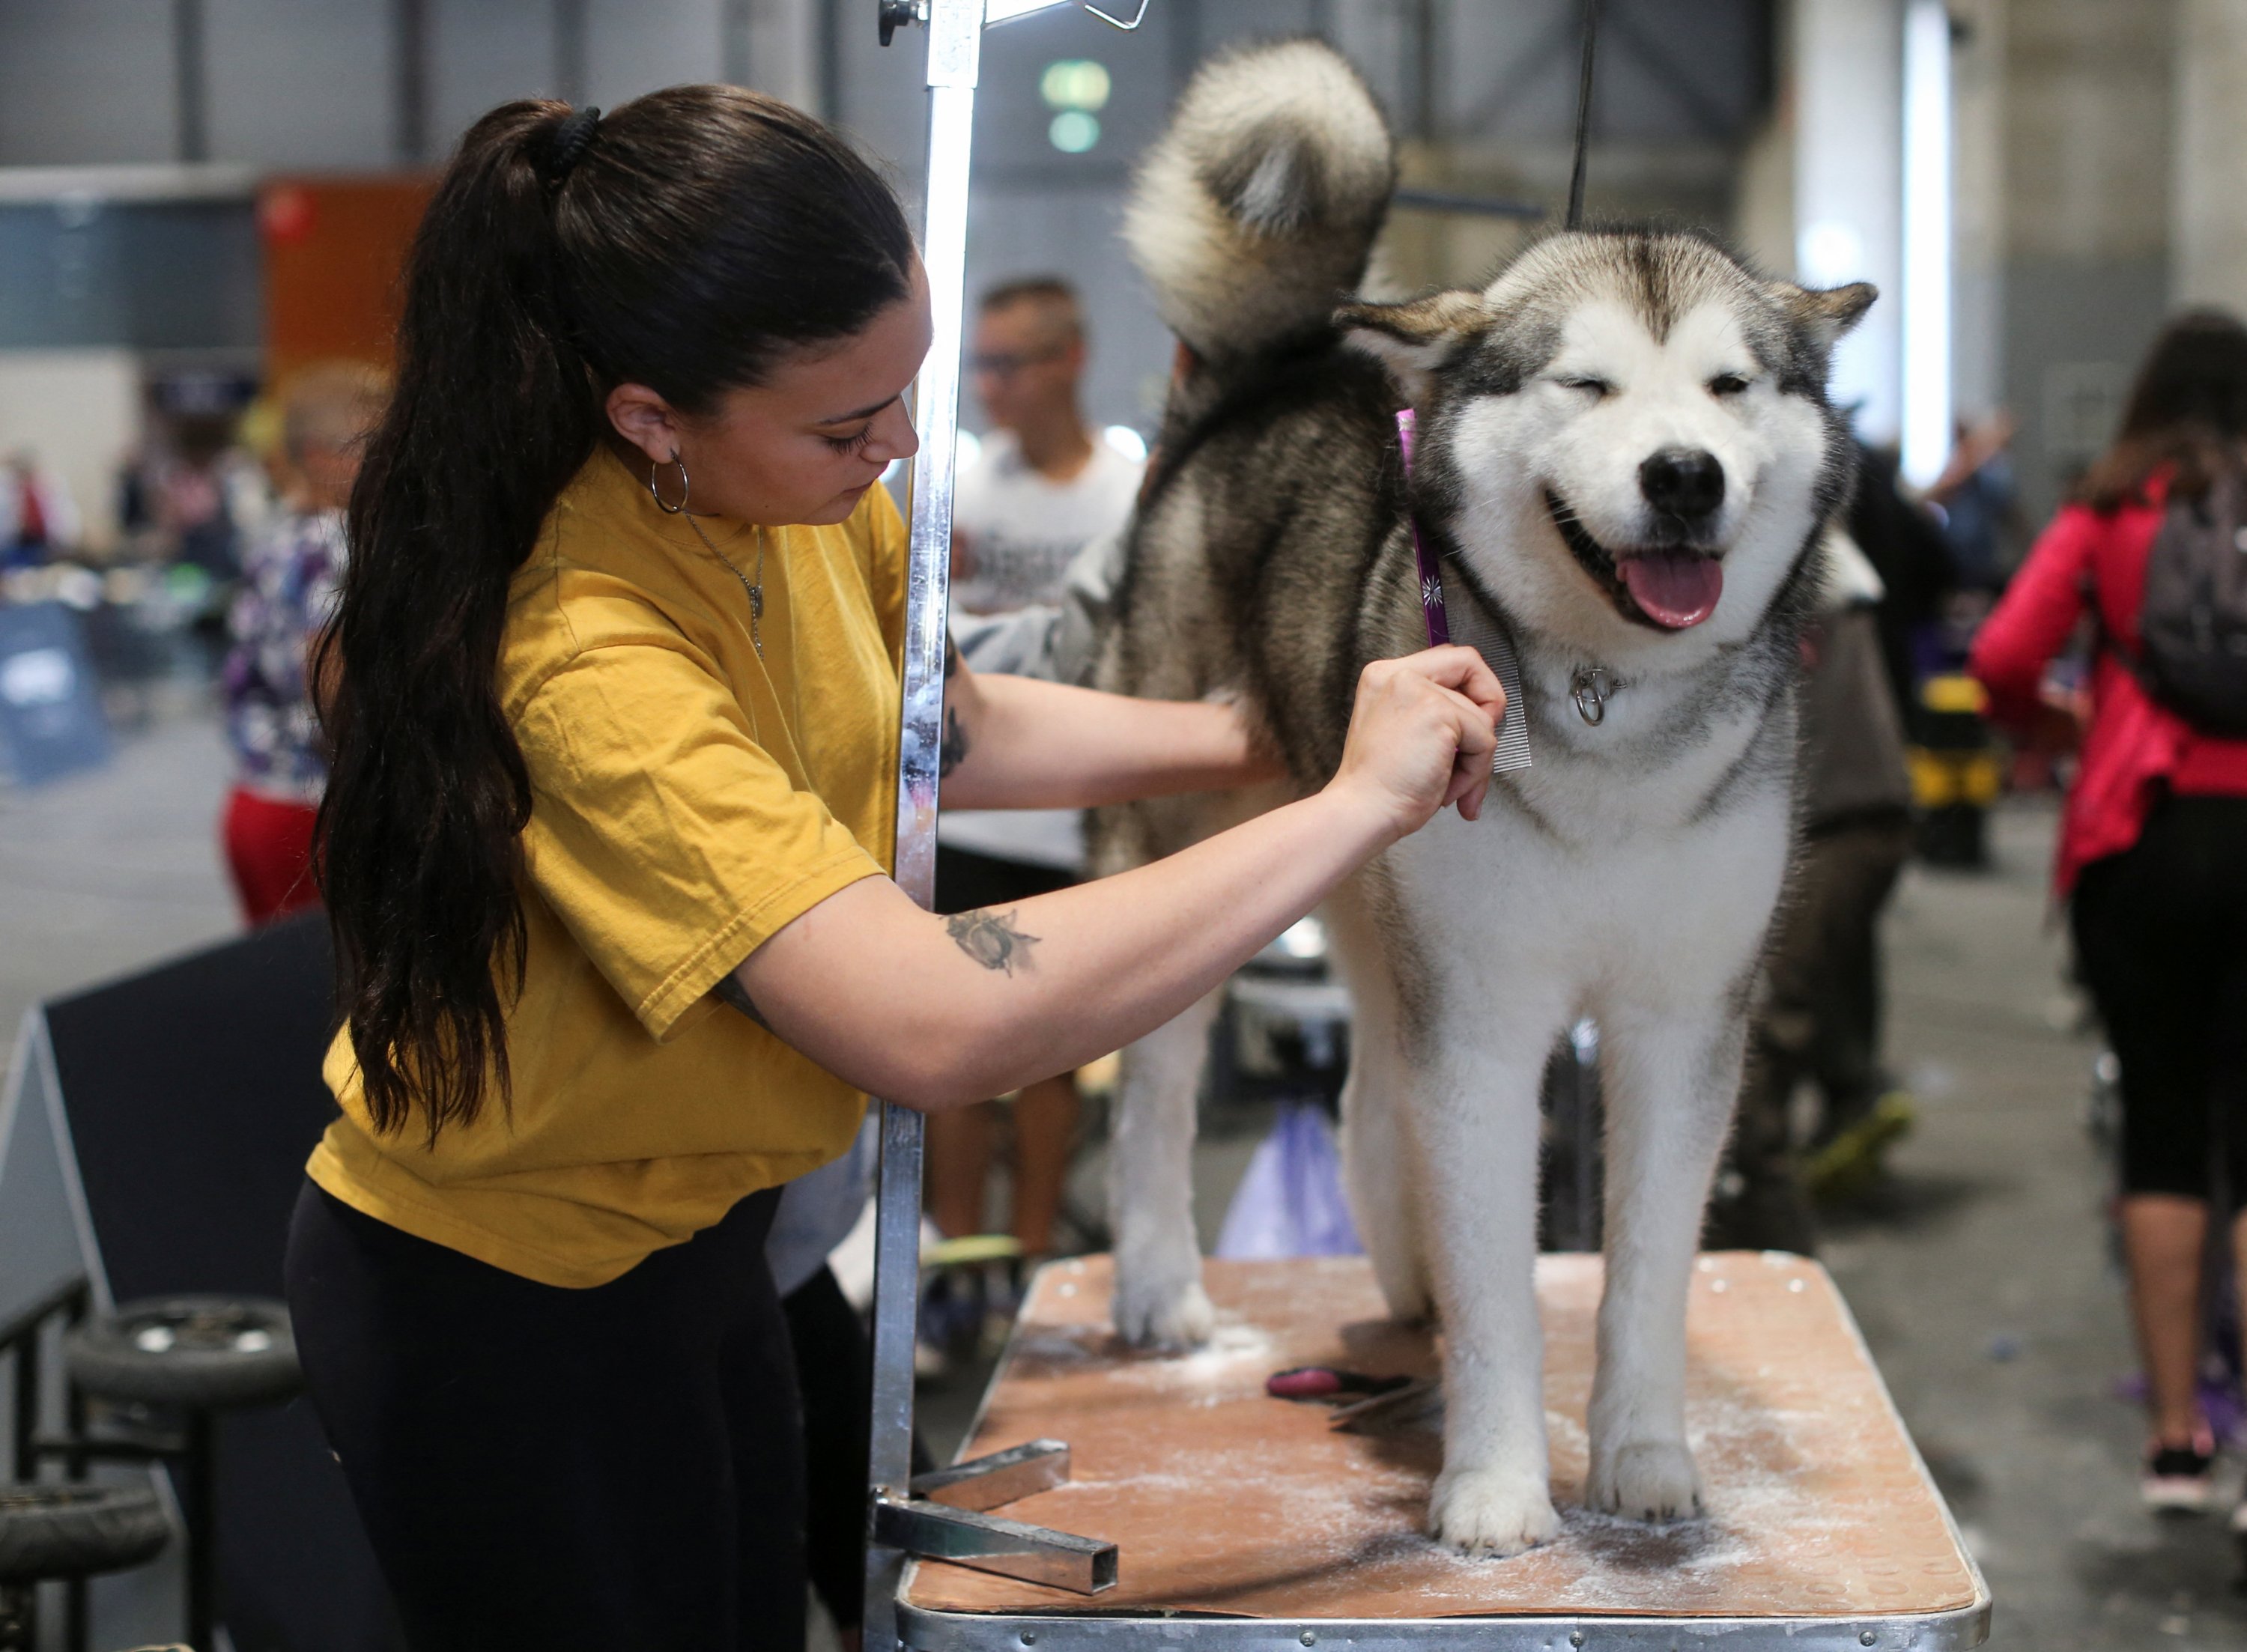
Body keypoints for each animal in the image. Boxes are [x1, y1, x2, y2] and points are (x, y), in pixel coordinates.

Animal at [1097, 42, 1870, 1564]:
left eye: (1730, 385)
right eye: (1587, 384)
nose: (1683, 474)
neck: (1611, 707)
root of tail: (1277, 370)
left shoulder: (1684, 1014)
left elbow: (1647, 1265)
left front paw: (1643, 1461)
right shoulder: (1491, 1012)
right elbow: (1502, 1271)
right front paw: (1499, 1486)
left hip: (1367, 890)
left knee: (1370, 1091)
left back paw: (1406, 1286)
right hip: (1200, 849)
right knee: (1157, 1086)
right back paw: (1162, 1289)